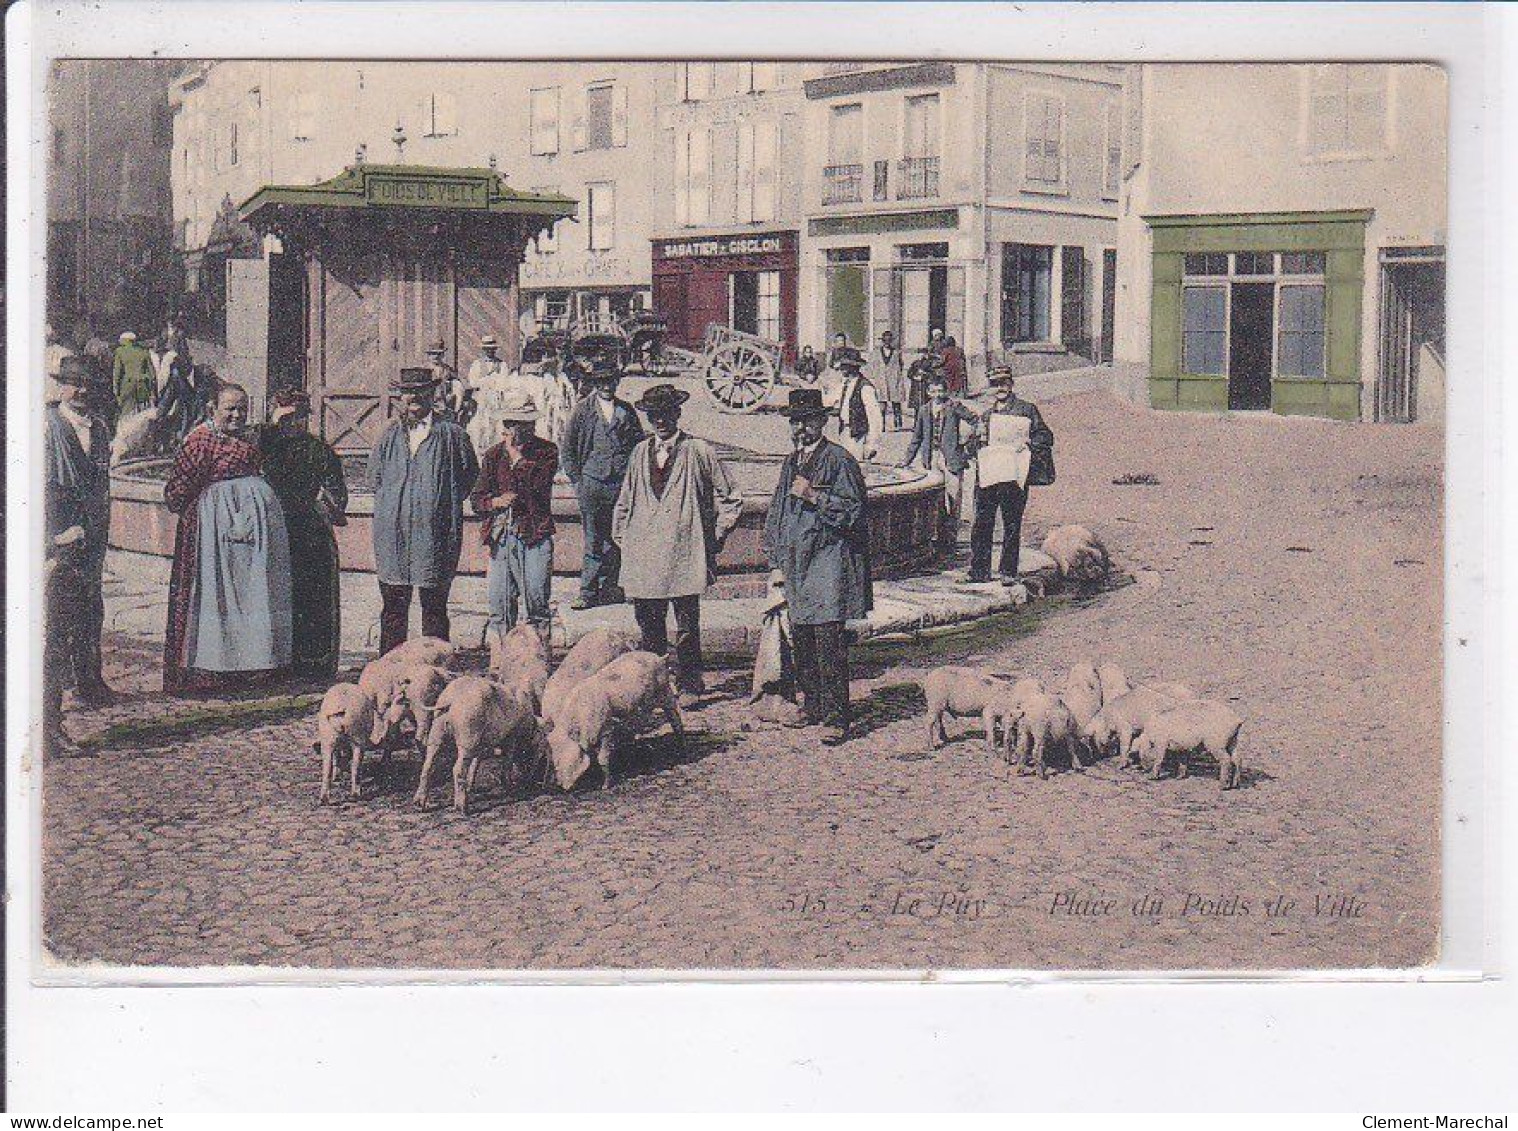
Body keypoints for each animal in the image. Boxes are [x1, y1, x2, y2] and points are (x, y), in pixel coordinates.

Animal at [415, 671, 546, 813]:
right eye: (538, 747)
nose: (532, 780)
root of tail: (452, 698)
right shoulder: (512, 736)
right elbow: (508, 759)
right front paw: (509, 786)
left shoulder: (481, 742)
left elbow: (476, 761)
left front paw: (470, 787)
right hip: (468, 733)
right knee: (457, 769)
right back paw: (462, 808)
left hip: (437, 729)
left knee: (428, 765)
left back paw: (419, 805)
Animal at [543, 649, 686, 789]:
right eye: (553, 758)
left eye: (566, 760)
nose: (560, 786)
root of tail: (660, 657)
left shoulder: (606, 728)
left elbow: (602, 757)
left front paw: (605, 786)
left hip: (664, 691)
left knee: (675, 716)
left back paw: (681, 749)